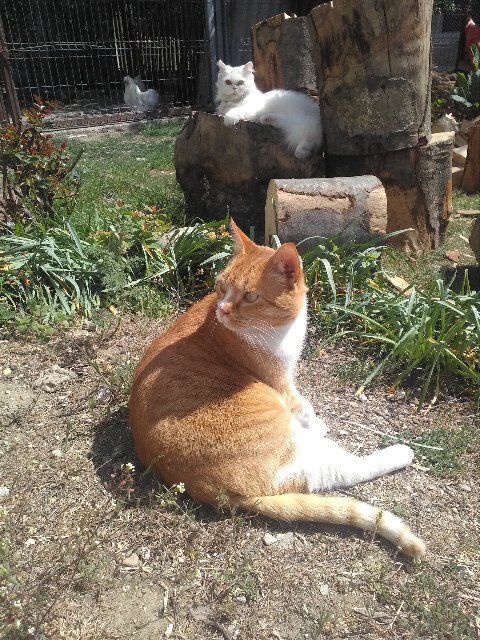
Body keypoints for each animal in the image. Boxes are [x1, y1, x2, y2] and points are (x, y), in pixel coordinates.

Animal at [129, 221, 425, 558]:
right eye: (221, 288)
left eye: (250, 296)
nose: (222, 310)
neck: (282, 331)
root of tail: (208, 491)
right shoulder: (281, 383)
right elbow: (304, 406)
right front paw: (315, 421)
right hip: (296, 450)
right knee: (341, 471)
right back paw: (400, 452)